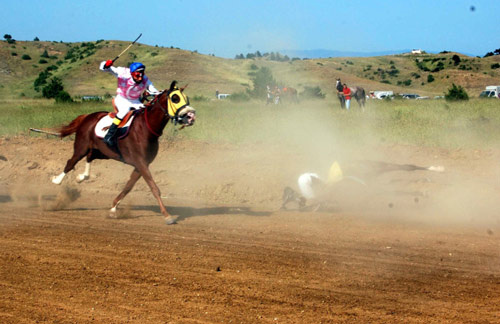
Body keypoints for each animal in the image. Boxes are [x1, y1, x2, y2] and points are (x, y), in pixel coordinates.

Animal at [50, 80, 195, 225]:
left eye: (186, 98)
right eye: (175, 98)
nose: (191, 116)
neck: (146, 128)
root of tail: (87, 116)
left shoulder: (141, 164)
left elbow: (128, 187)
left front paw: (114, 208)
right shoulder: (141, 163)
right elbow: (154, 188)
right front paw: (167, 215)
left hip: (104, 152)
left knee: (90, 156)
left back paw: (82, 177)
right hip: (81, 147)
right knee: (71, 162)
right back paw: (57, 180)